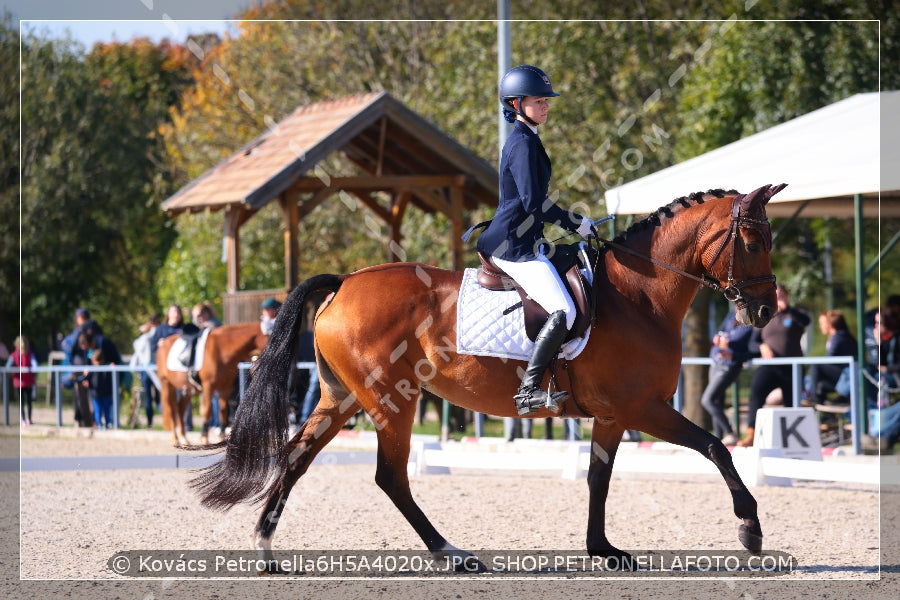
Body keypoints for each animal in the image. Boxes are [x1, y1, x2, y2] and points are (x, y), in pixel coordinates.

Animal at [192, 185, 788, 568]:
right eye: (752, 242)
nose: (764, 312)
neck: (639, 294)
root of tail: (345, 282)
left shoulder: (613, 416)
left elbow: (599, 479)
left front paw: (603, 550)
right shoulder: (644, 408)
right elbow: (715, 446)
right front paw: (750, 528)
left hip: (341, 398)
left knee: (296, 456)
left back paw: (266, 547)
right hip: (392, 401)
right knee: (390, 477)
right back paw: (451, 554)